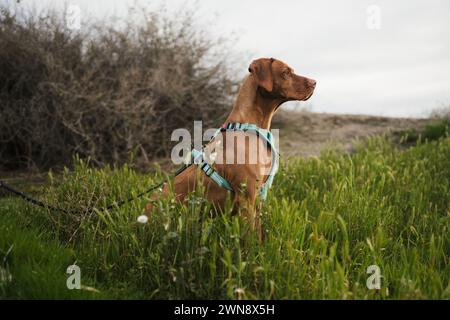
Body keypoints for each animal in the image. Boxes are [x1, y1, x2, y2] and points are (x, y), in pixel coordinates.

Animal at [146, 57, 314, 240]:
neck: (250, 126)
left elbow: (258, 235)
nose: (314, 83)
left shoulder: (258, 198)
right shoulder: (246, 198)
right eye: (285, 72)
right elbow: (250, 239)